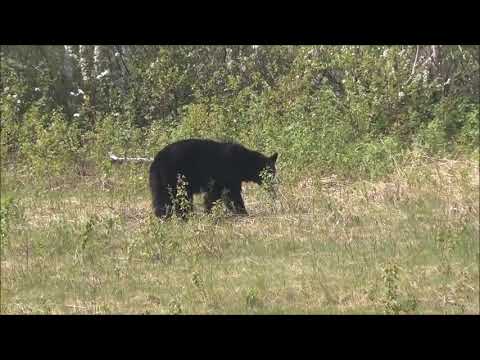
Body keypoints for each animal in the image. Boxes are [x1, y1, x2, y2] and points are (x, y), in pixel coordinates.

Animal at [149, 139, 278, 218]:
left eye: (273, 173)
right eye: (270, 174)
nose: (273, 186)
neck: (243, 163)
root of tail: (156, 161)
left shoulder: (231, 179)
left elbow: (228, 195)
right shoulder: (224, 175)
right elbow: (224, 195)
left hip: (161, 181)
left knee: (162, 198)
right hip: (174, 177)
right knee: (177, 199)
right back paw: (182, 216)